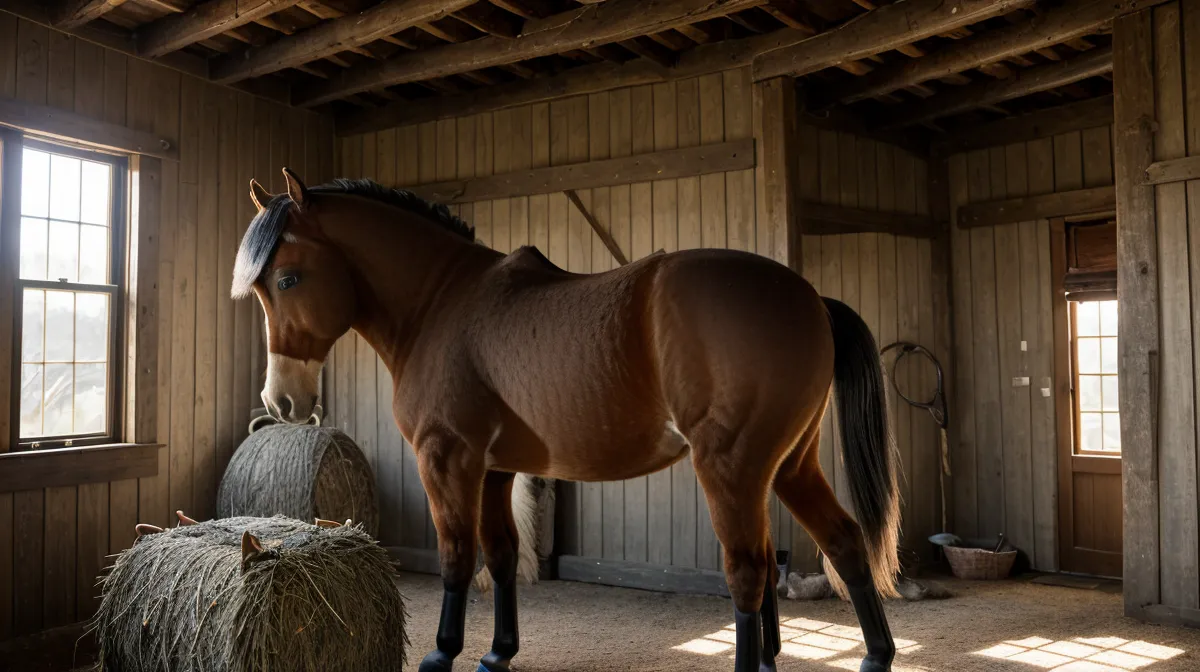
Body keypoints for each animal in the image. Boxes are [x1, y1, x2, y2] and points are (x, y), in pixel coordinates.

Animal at [233, 167, 902, 672]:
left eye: (287, 278)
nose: (281, 403)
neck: (441, 305)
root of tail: (811, 298)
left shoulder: (446, 458)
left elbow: (457, 555)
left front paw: (443, 653)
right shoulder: (496, 470)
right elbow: (502, 554)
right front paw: (497, 654)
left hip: (732, 469)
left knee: (748, 570)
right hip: (789, 467)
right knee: (842, 542)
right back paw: (871, 656)